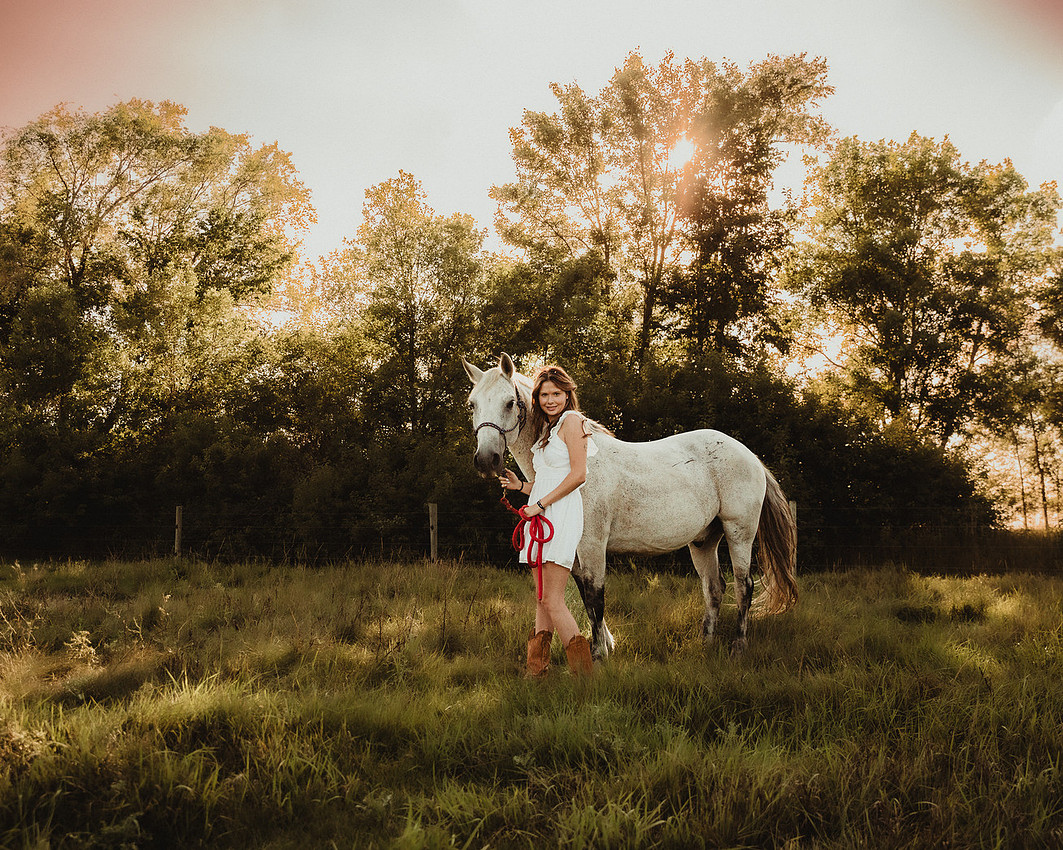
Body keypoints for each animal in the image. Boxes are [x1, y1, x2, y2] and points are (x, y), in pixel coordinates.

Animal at [462, 353, 798, 658]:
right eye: (472, 404)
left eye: (509, 402)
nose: (487, 460)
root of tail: (749, 455)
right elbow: (585, 595)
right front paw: (604, 644)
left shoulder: (592, 545)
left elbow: (595, 596)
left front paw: (599, 654)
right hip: (703, 541)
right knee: (714, 588)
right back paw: (706, 644)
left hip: (739, 534)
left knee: (744, 586)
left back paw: (738, 647)